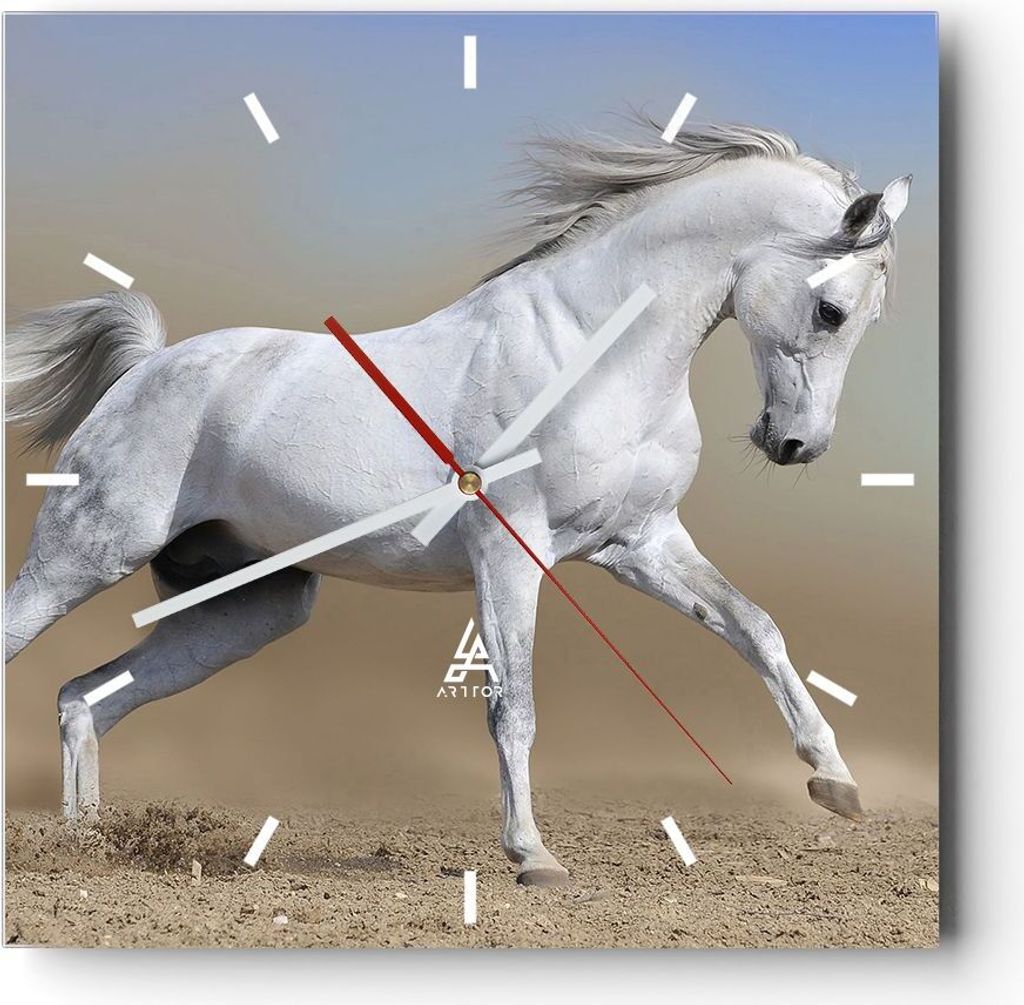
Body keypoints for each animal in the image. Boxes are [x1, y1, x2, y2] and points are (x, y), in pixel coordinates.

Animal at [4, 120, 911, 886]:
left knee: (85, 697)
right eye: (831, 308)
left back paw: (88, 843)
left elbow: (756, 628)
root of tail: (144, 368)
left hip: (249, 607)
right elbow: (514, 708)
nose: (795, 444)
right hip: (85, 556)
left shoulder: (642, 544)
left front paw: (835, 782)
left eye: (873, 317)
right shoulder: (512, 553)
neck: (590, 353)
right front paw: (533, 855)